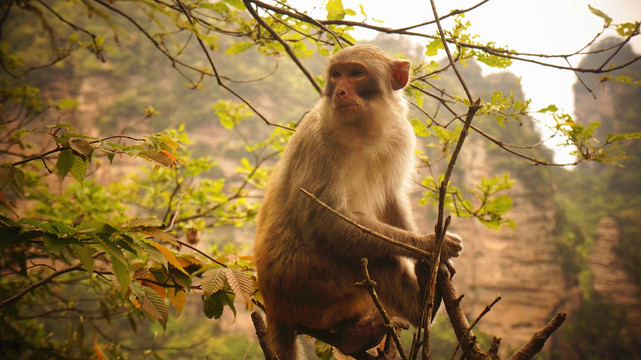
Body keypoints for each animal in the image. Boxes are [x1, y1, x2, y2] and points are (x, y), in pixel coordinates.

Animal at [252, 44, 462, 358]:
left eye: (355, 73)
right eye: (336, 75)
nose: (339, 91)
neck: (362, 129)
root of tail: (275, 307)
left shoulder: (400, 133)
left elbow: (391, 199)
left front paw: (430, 259)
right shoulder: (318, 141)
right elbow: (323, 220)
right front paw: (430, 246)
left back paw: (355, 336)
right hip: (303, 282)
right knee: (377, 260)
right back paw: (419, 311)